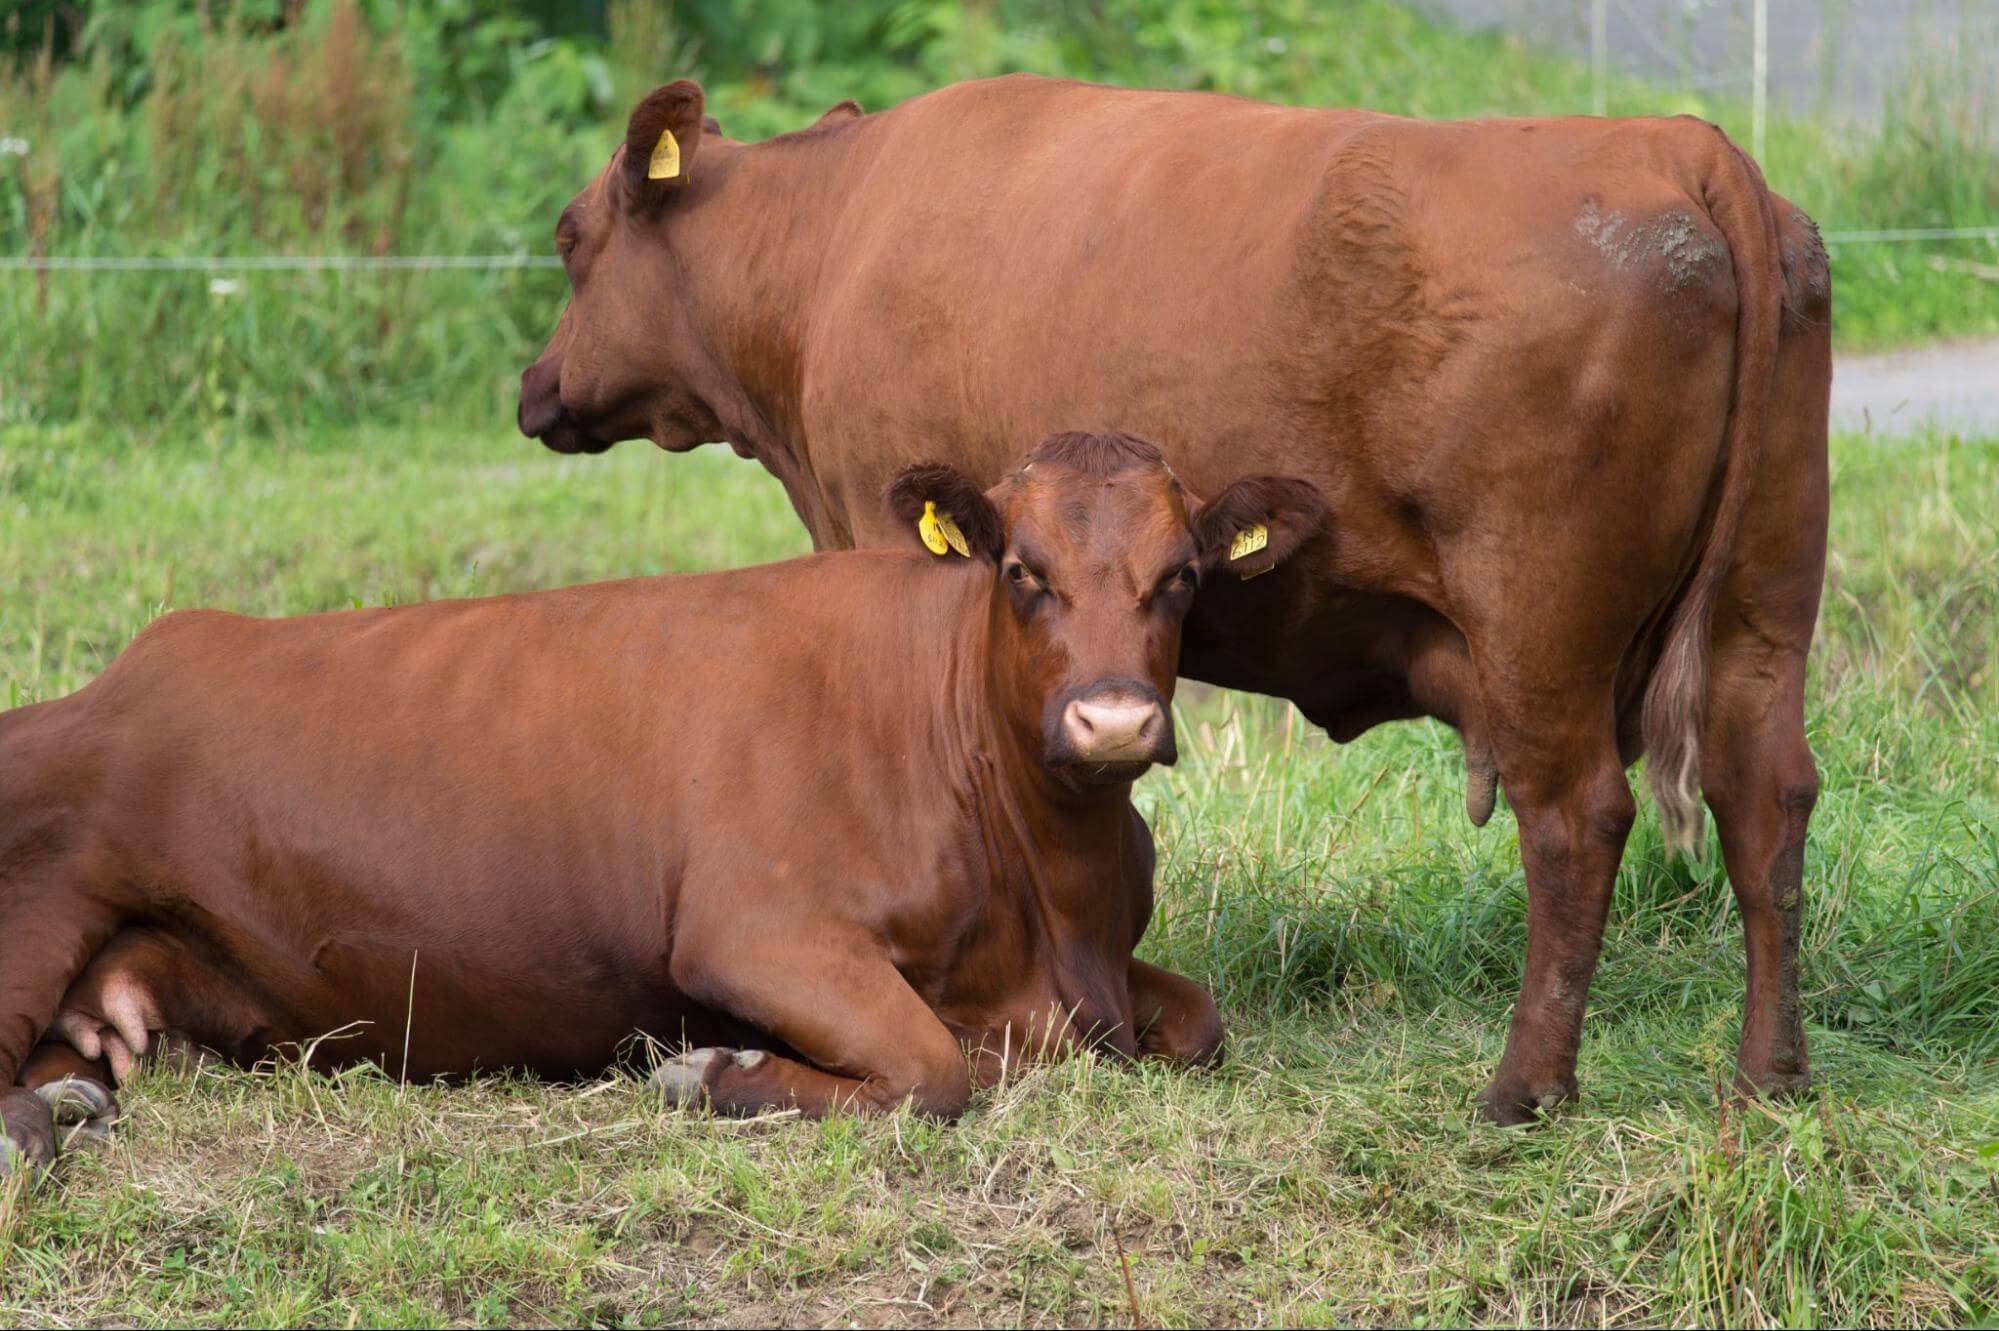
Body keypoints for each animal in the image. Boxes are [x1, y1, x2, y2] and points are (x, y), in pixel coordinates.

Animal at [0, 433, 1335, 1175]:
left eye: (1181, 577)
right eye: (1022, 570)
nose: (1112, 718)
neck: (1051, 897)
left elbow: (1200, 1020)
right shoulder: (756, 928)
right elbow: (935, 1067)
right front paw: (714, 1071)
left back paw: (77, 1089)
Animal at [523, 74, 1831, 1119]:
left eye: (571, 235)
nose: (535, 385)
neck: (837, 236)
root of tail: (1674, 144)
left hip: (1539, 626)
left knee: (1576, 819)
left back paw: (1523, 1088)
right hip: (1763, 607)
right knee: (1764, 795)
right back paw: (1768, 1075)